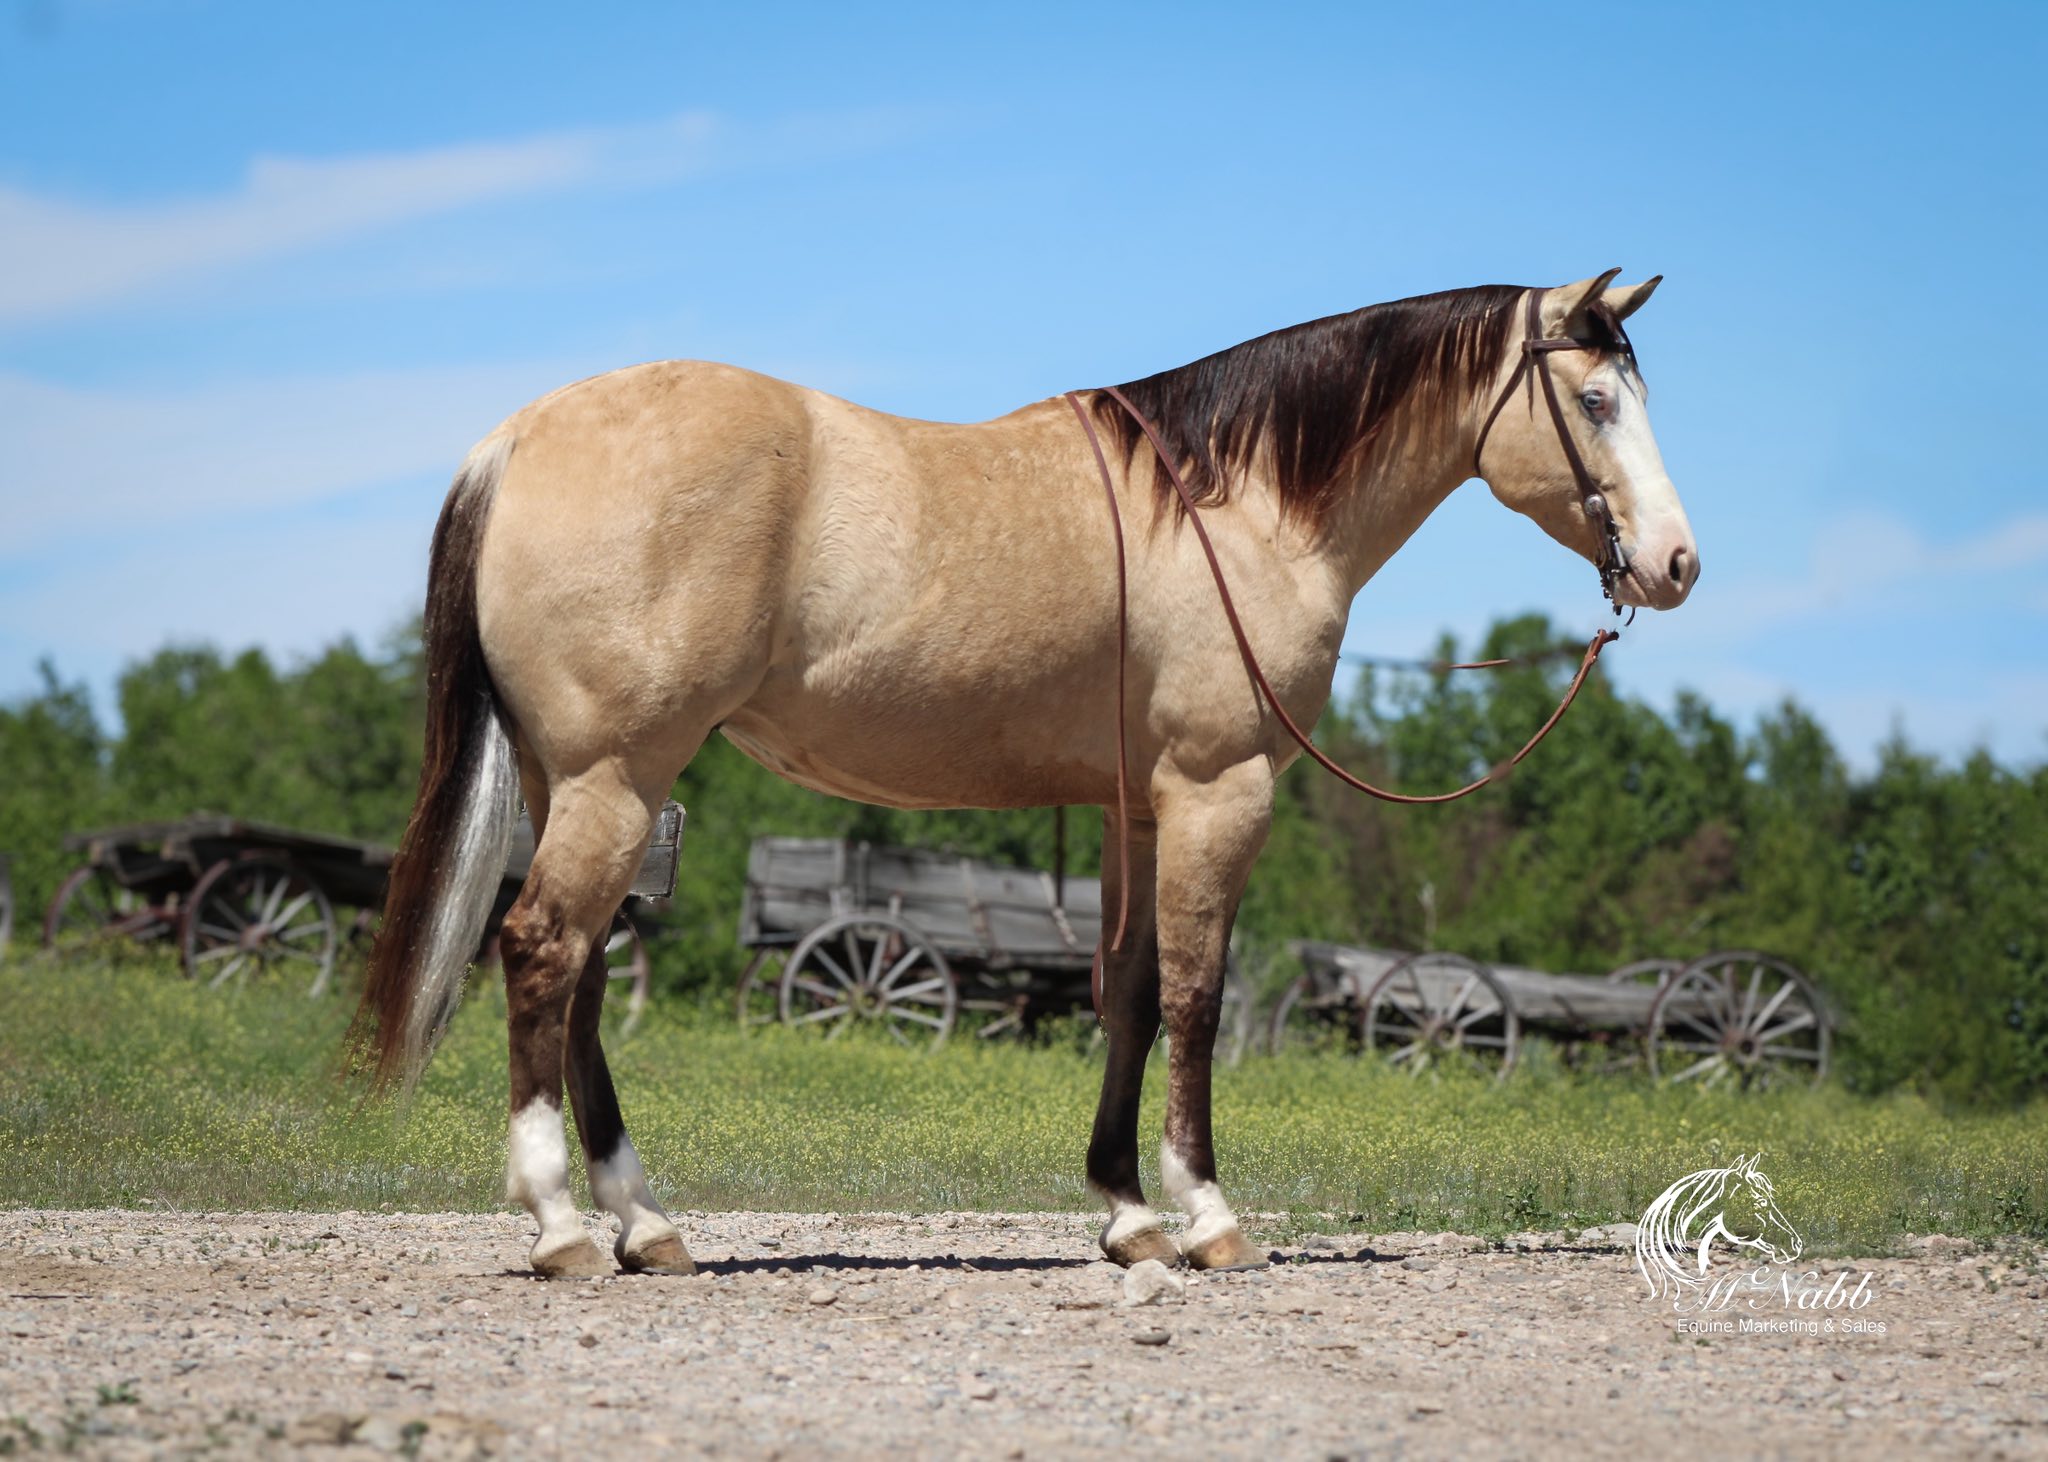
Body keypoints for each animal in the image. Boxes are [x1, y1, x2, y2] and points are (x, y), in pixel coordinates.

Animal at [352, 270, 1699, 1278]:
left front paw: (1126, 1211)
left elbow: (1131, 994)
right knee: (542, 952)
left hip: (579, 783)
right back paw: (564, 1226)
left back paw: (644, 1221)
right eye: (1592, 398)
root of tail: (516, 437)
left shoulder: (1137, 809)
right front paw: (1208, 1217)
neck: (1231, 504)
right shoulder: (1218, 791)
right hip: (617, 776)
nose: (1675, 563)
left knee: (578, 972)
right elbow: (1197, 999)